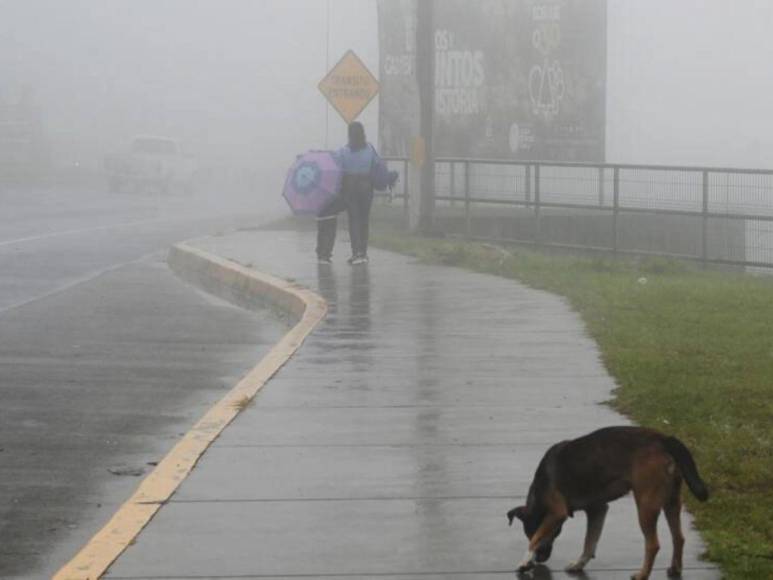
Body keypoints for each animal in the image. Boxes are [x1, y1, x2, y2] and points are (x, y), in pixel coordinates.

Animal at [506, 424, 704, 576]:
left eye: (530, 531)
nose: (540, 560)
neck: (537, 491)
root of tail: (663, 439)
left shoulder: (557, 512)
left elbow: (537, 538)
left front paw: (524, 562)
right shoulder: (597, 509)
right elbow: (590, 541)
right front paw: (579, 564)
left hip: (646, 503)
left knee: (653, 544)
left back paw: (642, 575)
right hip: (672, 499)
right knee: (678, 537)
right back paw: (675, 569)